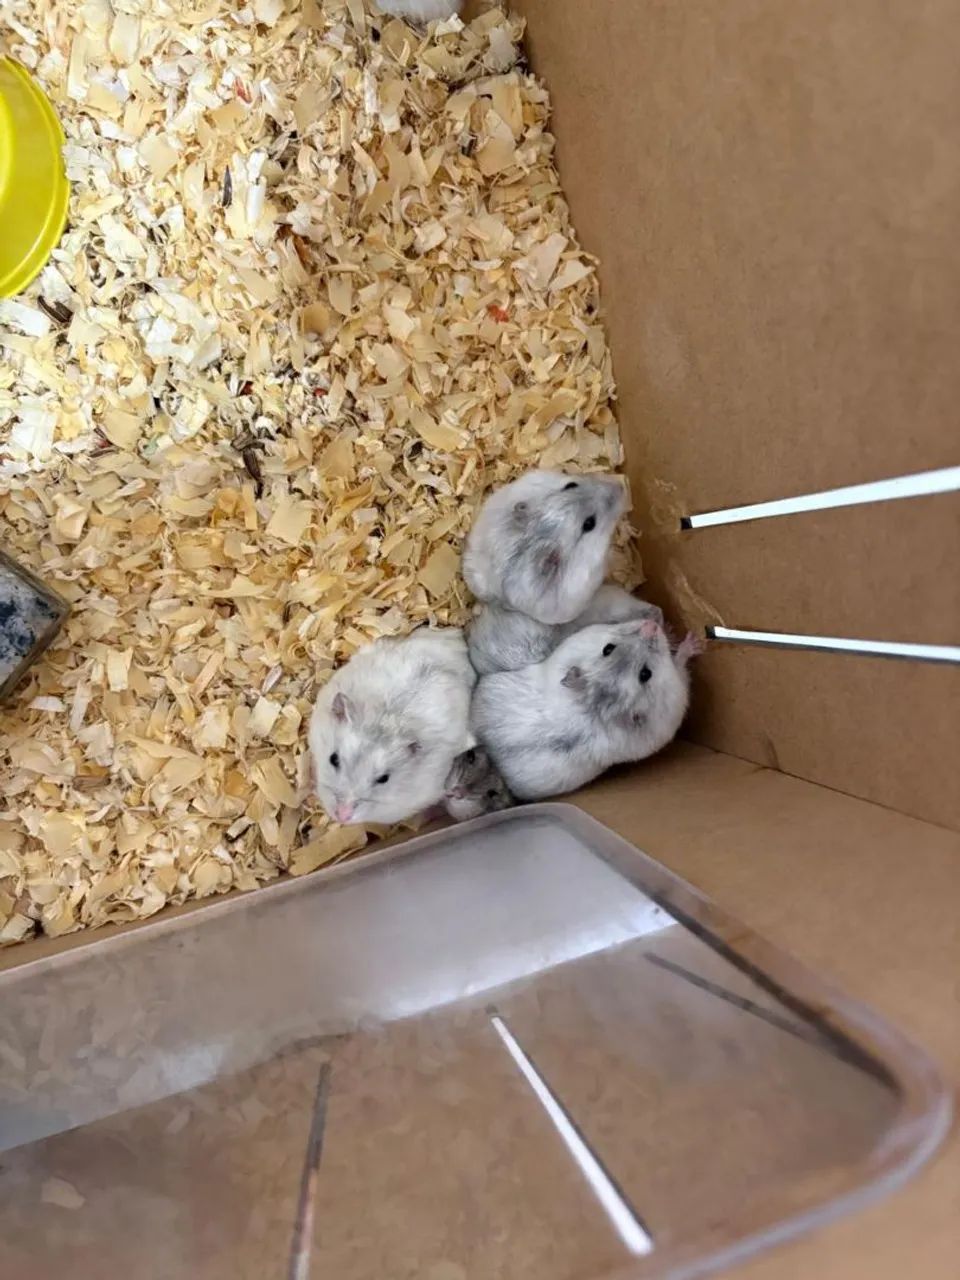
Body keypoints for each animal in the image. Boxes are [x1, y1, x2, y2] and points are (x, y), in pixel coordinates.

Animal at [472, 619, 703, 801]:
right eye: (607, 648)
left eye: (645, 674)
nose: (652, 624)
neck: (595, 706)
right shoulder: (677, 697)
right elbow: (681, 667)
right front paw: (694, 641)